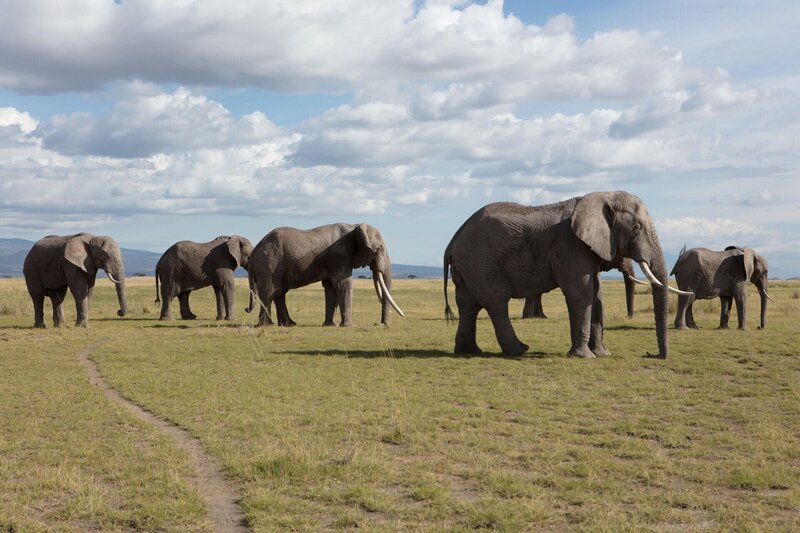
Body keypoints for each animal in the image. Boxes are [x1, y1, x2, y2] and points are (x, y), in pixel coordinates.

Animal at [246, 223, 404, 327]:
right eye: (379, 249)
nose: (381, 324)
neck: (354, 227)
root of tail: (253, 255)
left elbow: (331, 288)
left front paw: (329, 325)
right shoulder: (339, 256)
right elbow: (344, 284)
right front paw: (348, 326)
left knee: (280, 293)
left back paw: (289, 324)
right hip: (269, 263)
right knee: (270, 292)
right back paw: (267, 325)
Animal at [443, 191, 691, 358]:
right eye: (637, 228)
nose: (651, 354)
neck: (601, 197)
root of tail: (453, 239)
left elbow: (597, 296)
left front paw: (602, 354)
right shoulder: (571, 246)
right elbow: (581, 294)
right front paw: (585, 357)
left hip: (468, 266)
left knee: (468, 306)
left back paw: (469, 352)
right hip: (482, 262)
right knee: (496, 304)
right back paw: (519, 350)